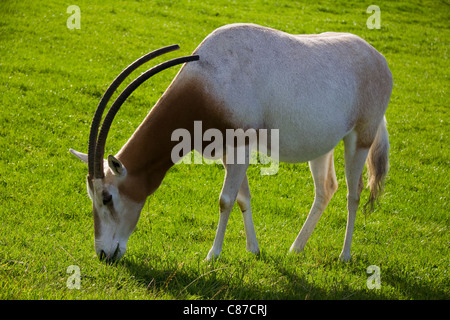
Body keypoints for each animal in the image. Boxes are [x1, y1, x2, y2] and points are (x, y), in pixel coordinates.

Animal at [69, 23, 390, 262]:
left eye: (107, 197)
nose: (103, 254)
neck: (209, 78)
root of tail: (380, 59)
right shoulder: (228, 150)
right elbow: (241, 198)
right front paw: (254, 250)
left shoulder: (241, 146)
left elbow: (225, 200)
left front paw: (213, 254)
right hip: (321, 146)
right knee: (326, 189)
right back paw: (296, 248)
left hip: (359, 139)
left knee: (353, 193)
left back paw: (344, 256)